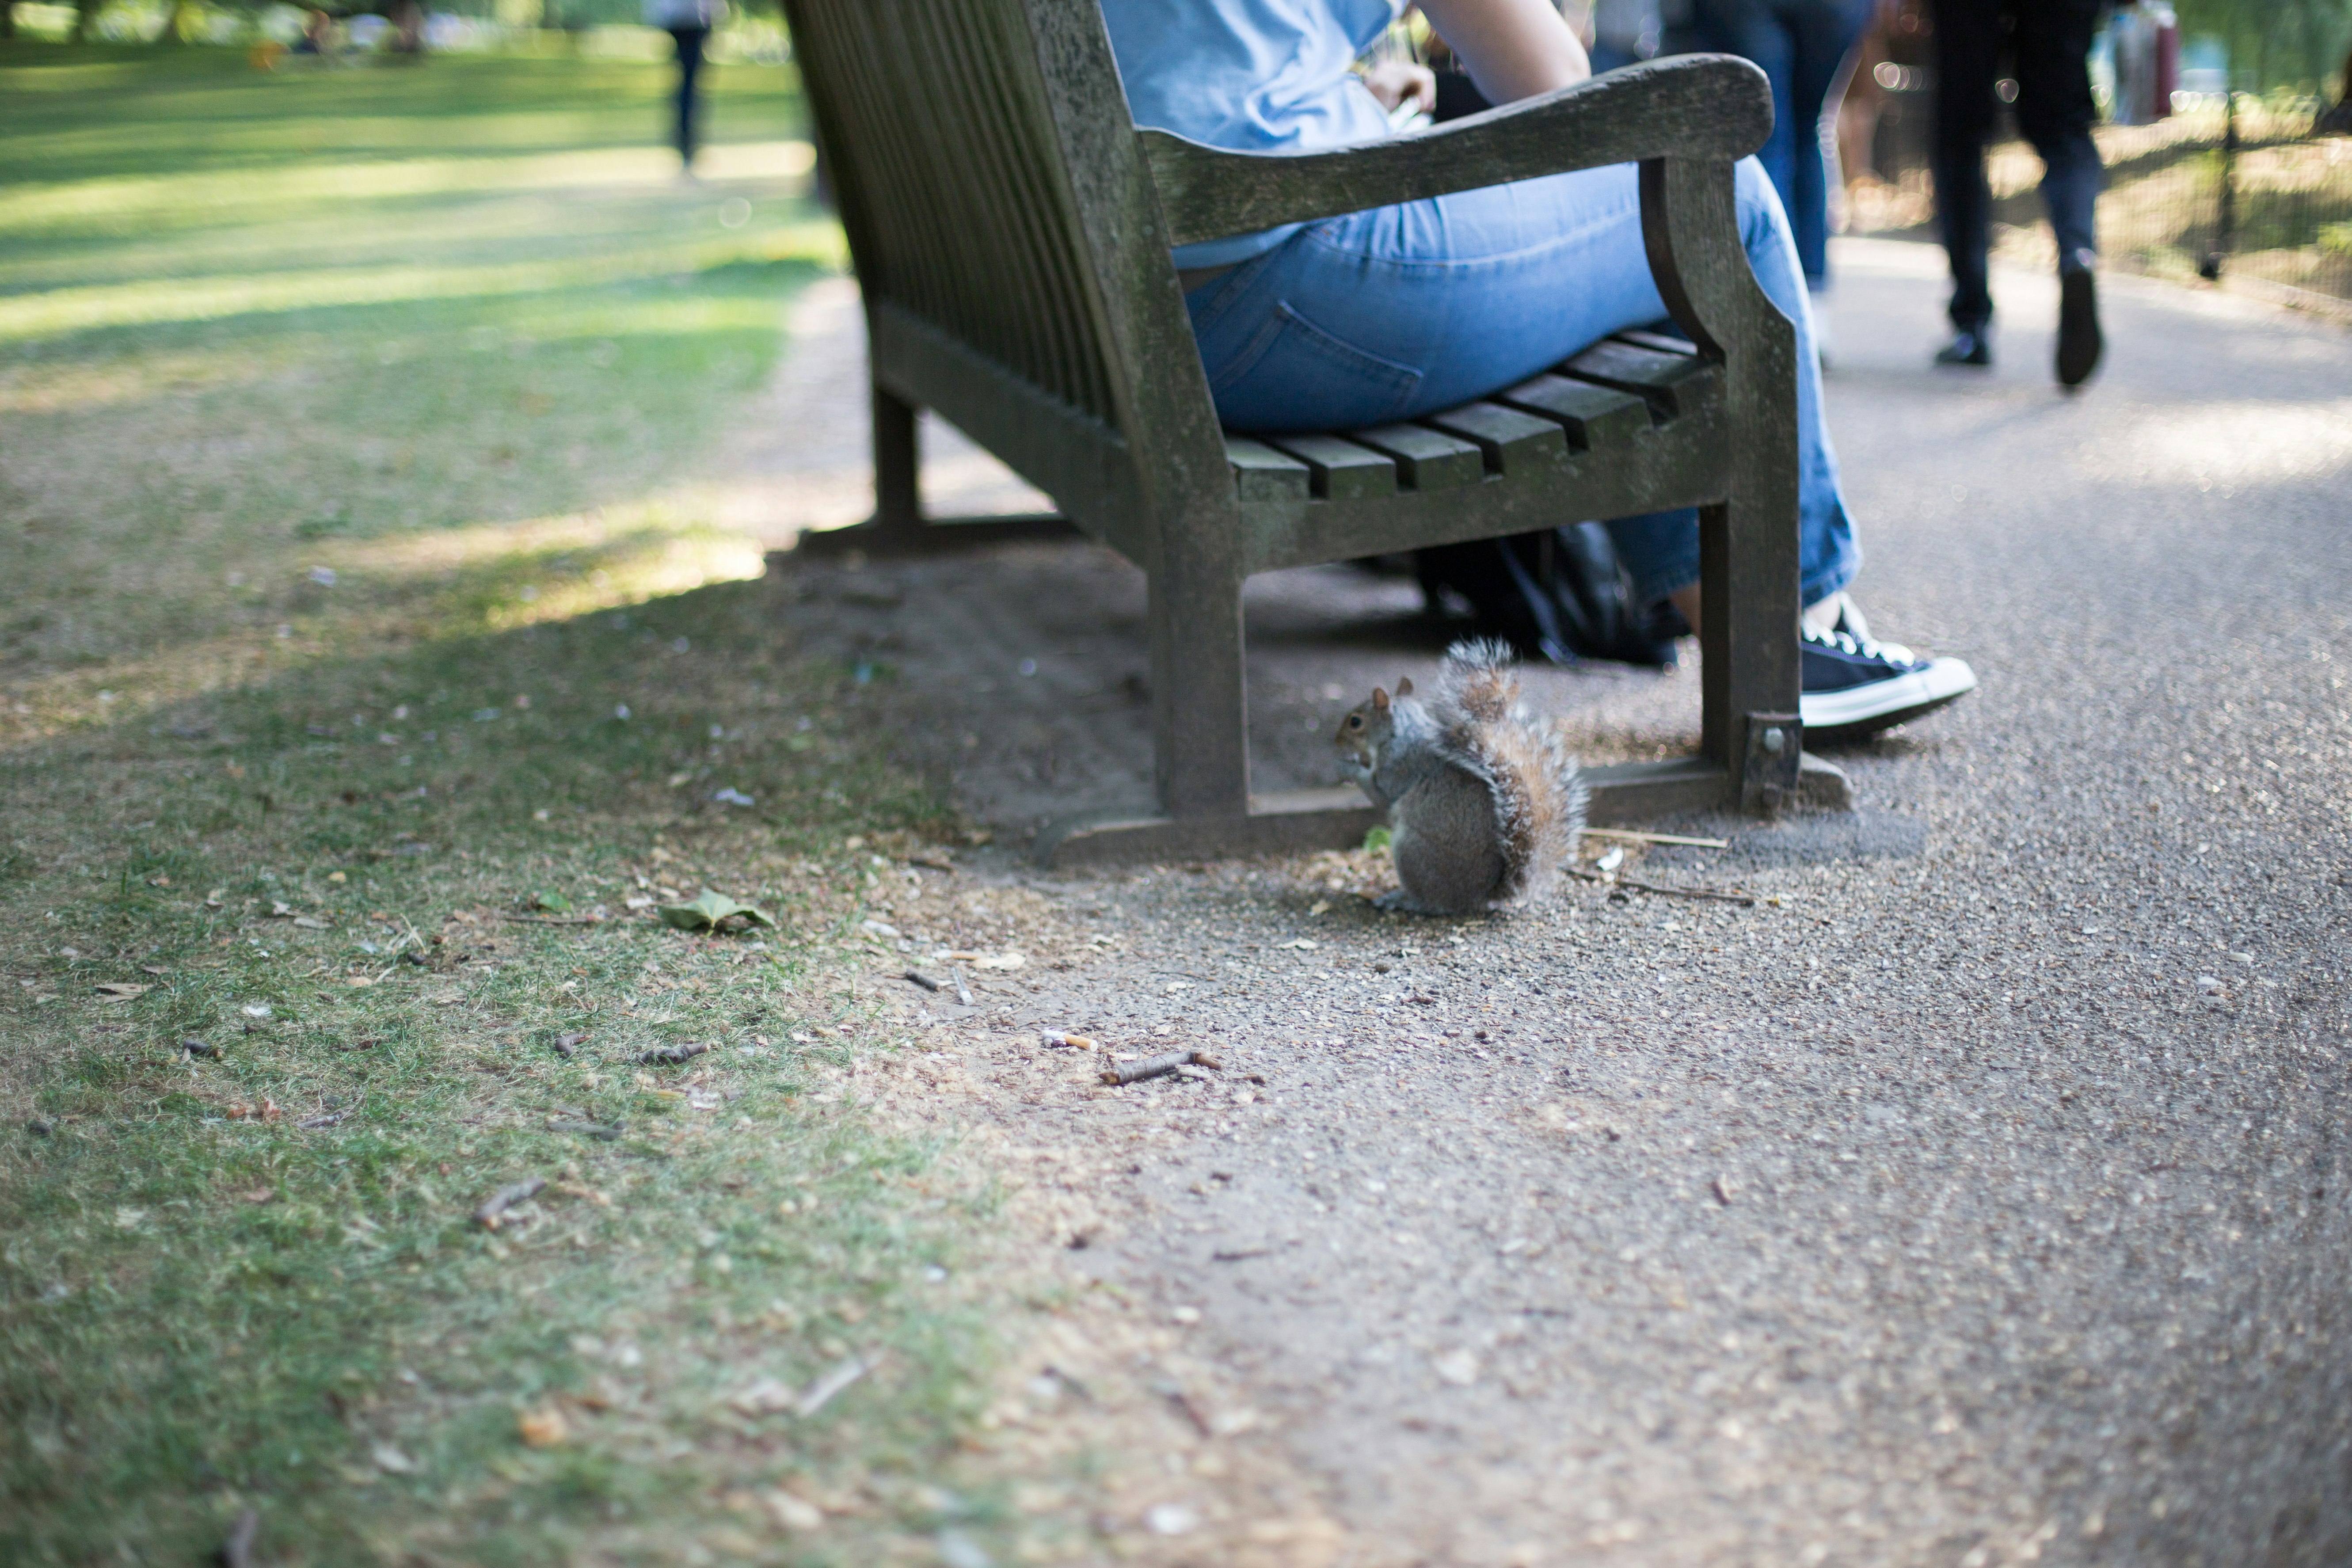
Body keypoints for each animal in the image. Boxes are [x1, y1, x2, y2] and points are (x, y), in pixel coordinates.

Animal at [1336, 639, 1590, 912]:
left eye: (1355, 722)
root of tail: (1479, 897)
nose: (1336, 740)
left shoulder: (1399, 767)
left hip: (1413, 854)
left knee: (1431, 903)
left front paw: (1349, 767)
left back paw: (1401, 900)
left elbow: (1382, 794)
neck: (1403, 731)